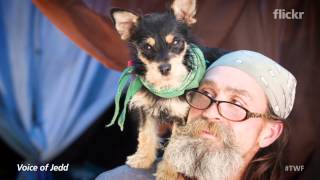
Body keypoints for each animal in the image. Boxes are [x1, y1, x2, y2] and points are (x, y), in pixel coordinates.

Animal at [111, 0, 226, 179]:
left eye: (177, 42)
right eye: (147, 47)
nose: (165, 68)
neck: (167, 87)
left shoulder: (184, 119)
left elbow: (175, 147)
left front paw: (167, 173)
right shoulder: (146, 109)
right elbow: (146, 134)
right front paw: (143, 159)